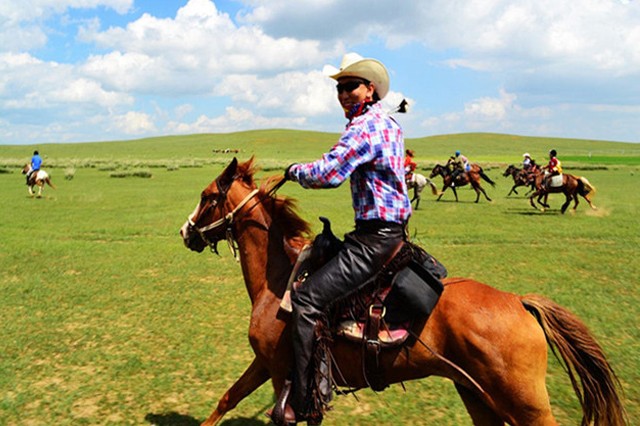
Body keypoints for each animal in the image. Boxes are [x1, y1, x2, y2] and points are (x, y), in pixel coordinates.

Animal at [179, 157, 624, 426]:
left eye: (207, 197)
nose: (185, 231)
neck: (279, 280)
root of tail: (519, 302)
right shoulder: (267, 365)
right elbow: (227, 398)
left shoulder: (279, 371)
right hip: (479, 395)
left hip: (524, 403)